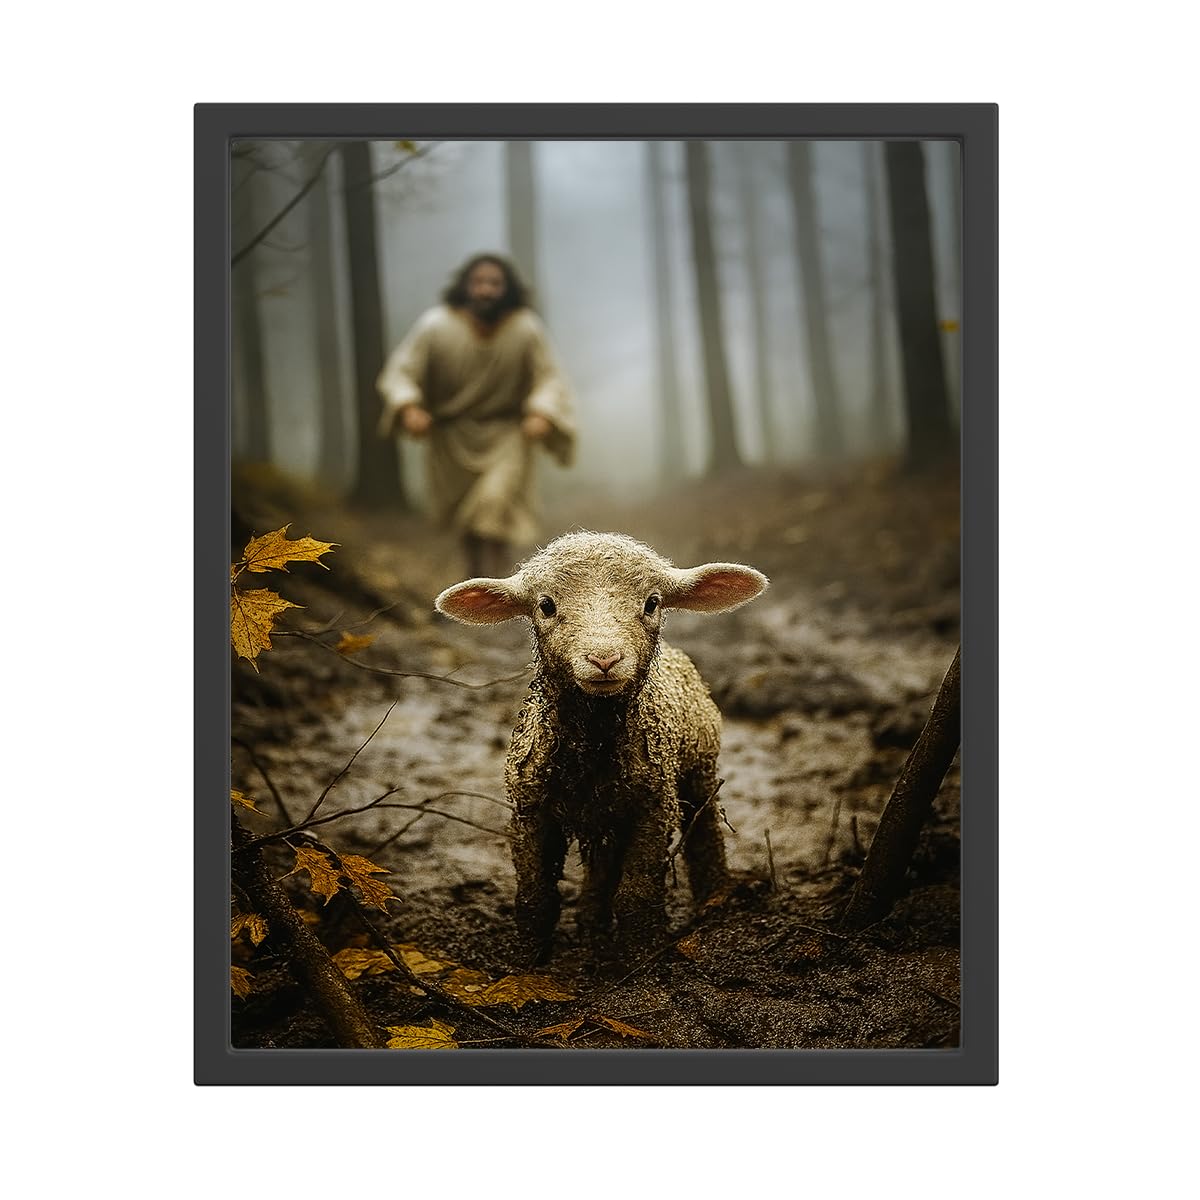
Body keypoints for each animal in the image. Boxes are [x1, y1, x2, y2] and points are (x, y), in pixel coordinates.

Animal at [435, 530, 768, 966]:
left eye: (652, 602)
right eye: (546, 605)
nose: (605, 659)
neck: (592, 750)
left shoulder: (653, 807)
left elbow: (637, 895)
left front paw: (641, 957)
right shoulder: (529, 810)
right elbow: (534, 898)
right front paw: (526, 960)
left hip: (700, 768)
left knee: (705, 831)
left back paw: (714, 897)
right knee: (605, 865)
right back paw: (592, 919)